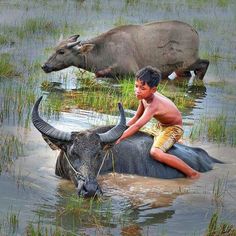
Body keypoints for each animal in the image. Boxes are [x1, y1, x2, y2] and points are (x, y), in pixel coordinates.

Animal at [41, 19, 209, 80]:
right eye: (54, 49)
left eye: (62, 52)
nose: (45, 66)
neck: (102, 51)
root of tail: (194, 31)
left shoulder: (130, 72)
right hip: (180, 69)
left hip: (188, 62)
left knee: (204, 64)